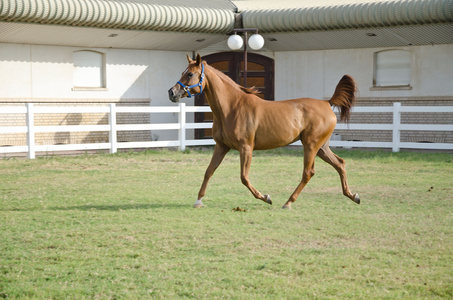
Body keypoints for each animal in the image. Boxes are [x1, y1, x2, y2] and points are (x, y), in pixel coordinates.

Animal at [168, 54, 358, 209]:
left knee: (308, 172)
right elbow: (209, 171)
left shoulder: (246, 148)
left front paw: (266, 197)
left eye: (190, 74)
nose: (172, 92)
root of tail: (327, 103)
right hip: (321, 148)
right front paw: (198, 200)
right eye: (183, 72)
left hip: (311, 146)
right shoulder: (221, 146)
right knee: (340, 164)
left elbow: (244, 177)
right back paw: (353, 195)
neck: (232, 107)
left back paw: (288, 202)